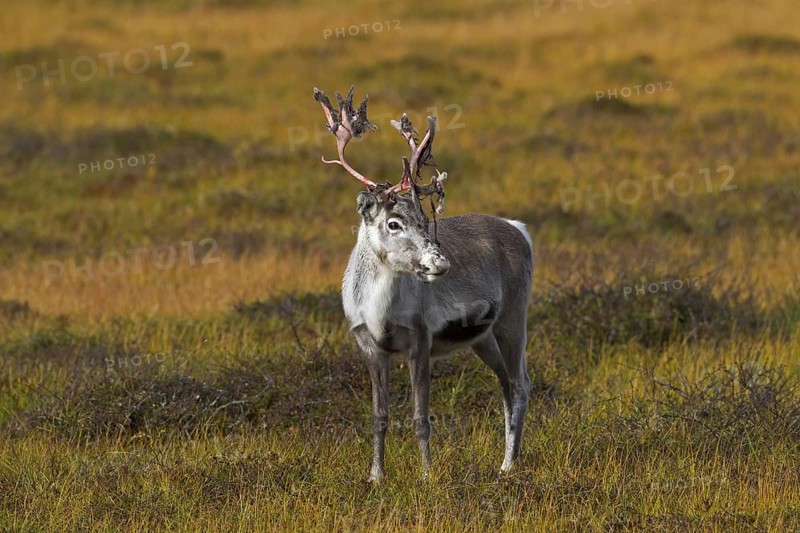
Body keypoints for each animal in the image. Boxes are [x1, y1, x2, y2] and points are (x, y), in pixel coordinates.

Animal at [314, 86, 533, 482]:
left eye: (423, 216)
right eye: (393, 222)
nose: (440, 262)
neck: (379, 313)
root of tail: (519, 229)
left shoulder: (421, 340)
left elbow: (420, 418)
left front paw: (427, 475)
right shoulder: (369, 346)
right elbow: (379, 416)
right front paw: (376, 476)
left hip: (513, 318)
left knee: (521, 384)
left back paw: (508, 465)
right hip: (482, 337)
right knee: (506, 385)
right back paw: (507, 459)